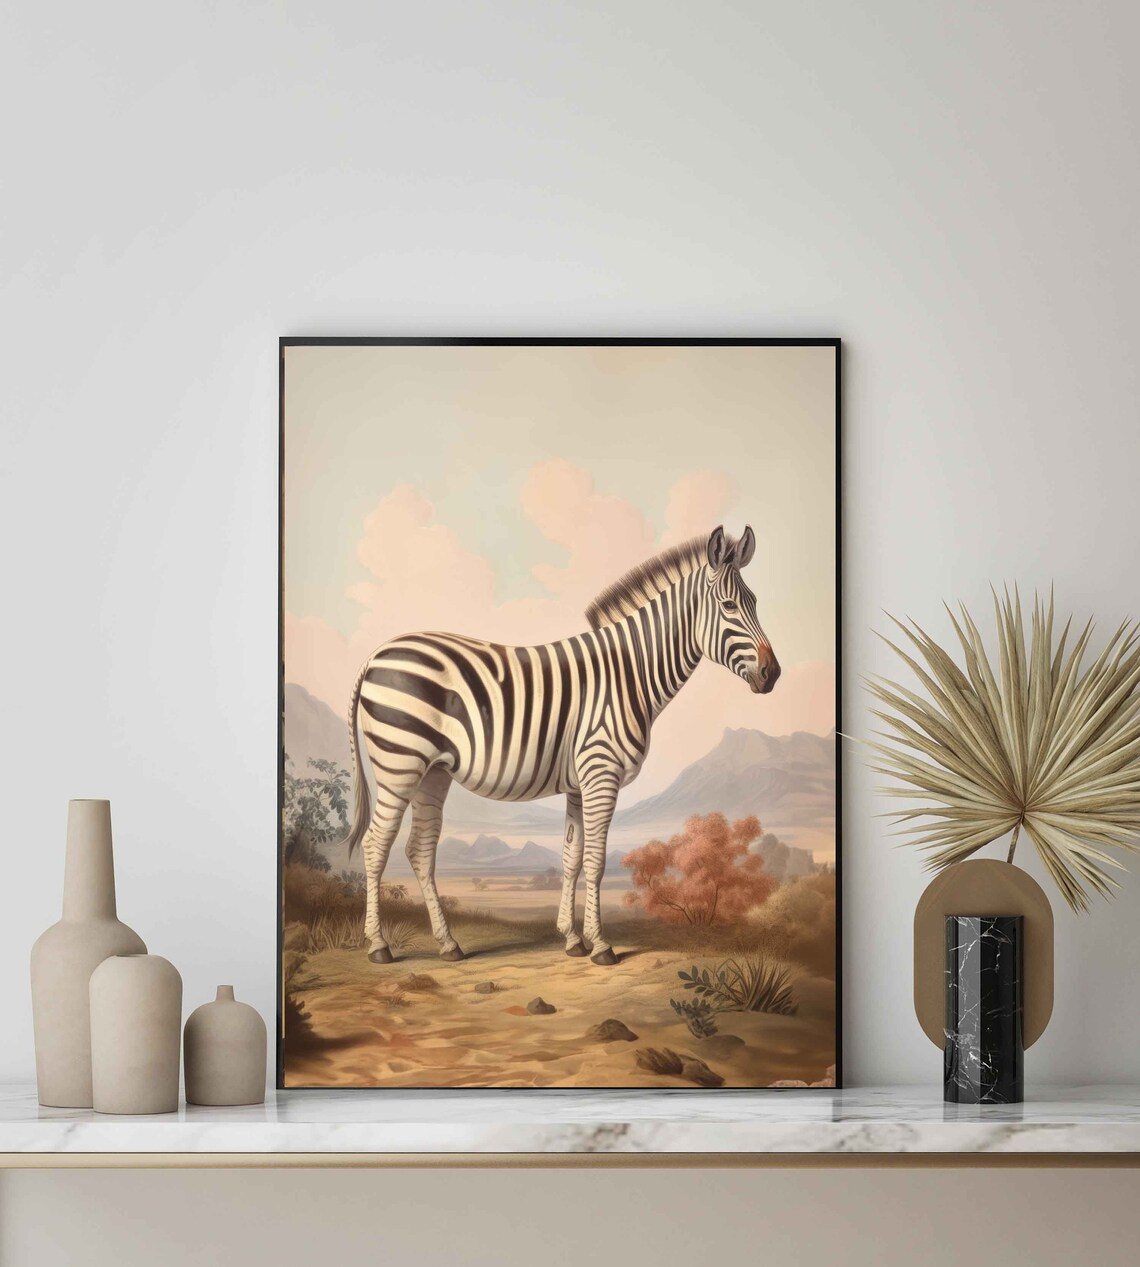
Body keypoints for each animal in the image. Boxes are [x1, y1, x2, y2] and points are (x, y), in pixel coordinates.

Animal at [338, 525, 780, 967]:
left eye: (756, 604)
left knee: (420, 850)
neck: (630, 673)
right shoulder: (602, 773)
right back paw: (379, 946)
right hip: (400, 762)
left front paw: (572, 939)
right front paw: (601, 946)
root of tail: (376, 654)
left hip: (433, 772)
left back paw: (449, 945)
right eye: (728, 606)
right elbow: (596, 861)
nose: (772, 674)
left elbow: (572, 858)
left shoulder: (579, 783)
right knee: (376, 844)